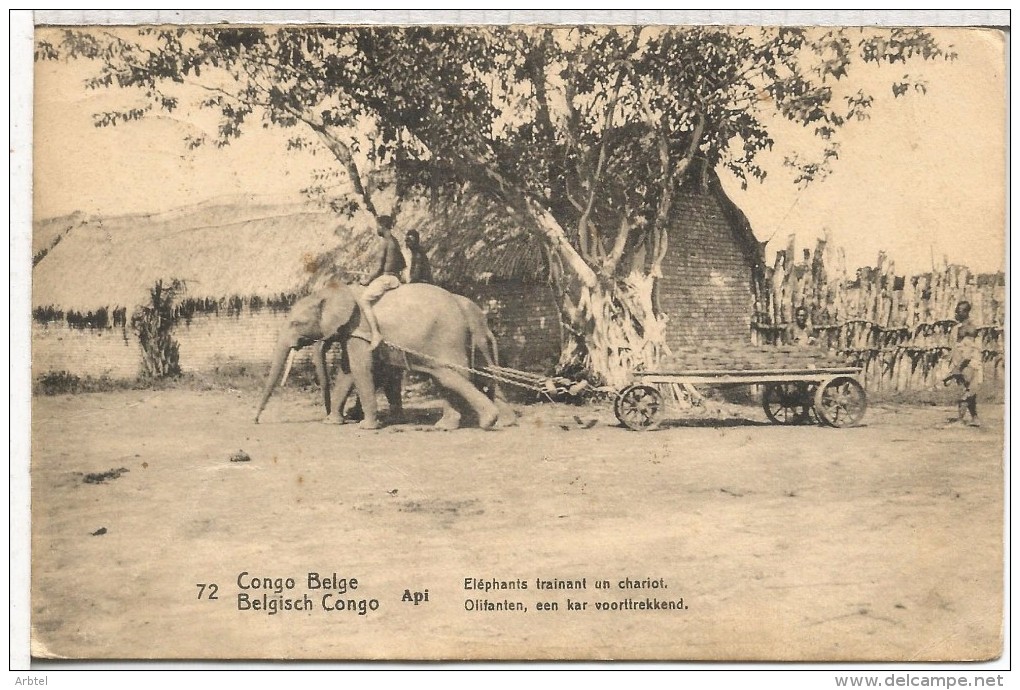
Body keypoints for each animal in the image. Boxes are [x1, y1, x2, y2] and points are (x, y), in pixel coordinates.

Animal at [255, 283, 501, 428]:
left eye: (296, 323)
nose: (256, 420)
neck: (334, 291)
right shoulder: (353, 334)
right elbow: (347, 372)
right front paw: (333, 423)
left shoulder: (360, 331)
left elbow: (359, 369)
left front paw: (366, 426)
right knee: (446, 377)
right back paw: (448, 425)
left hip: (447, 338)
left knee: (452, 375)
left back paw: (480, 421)